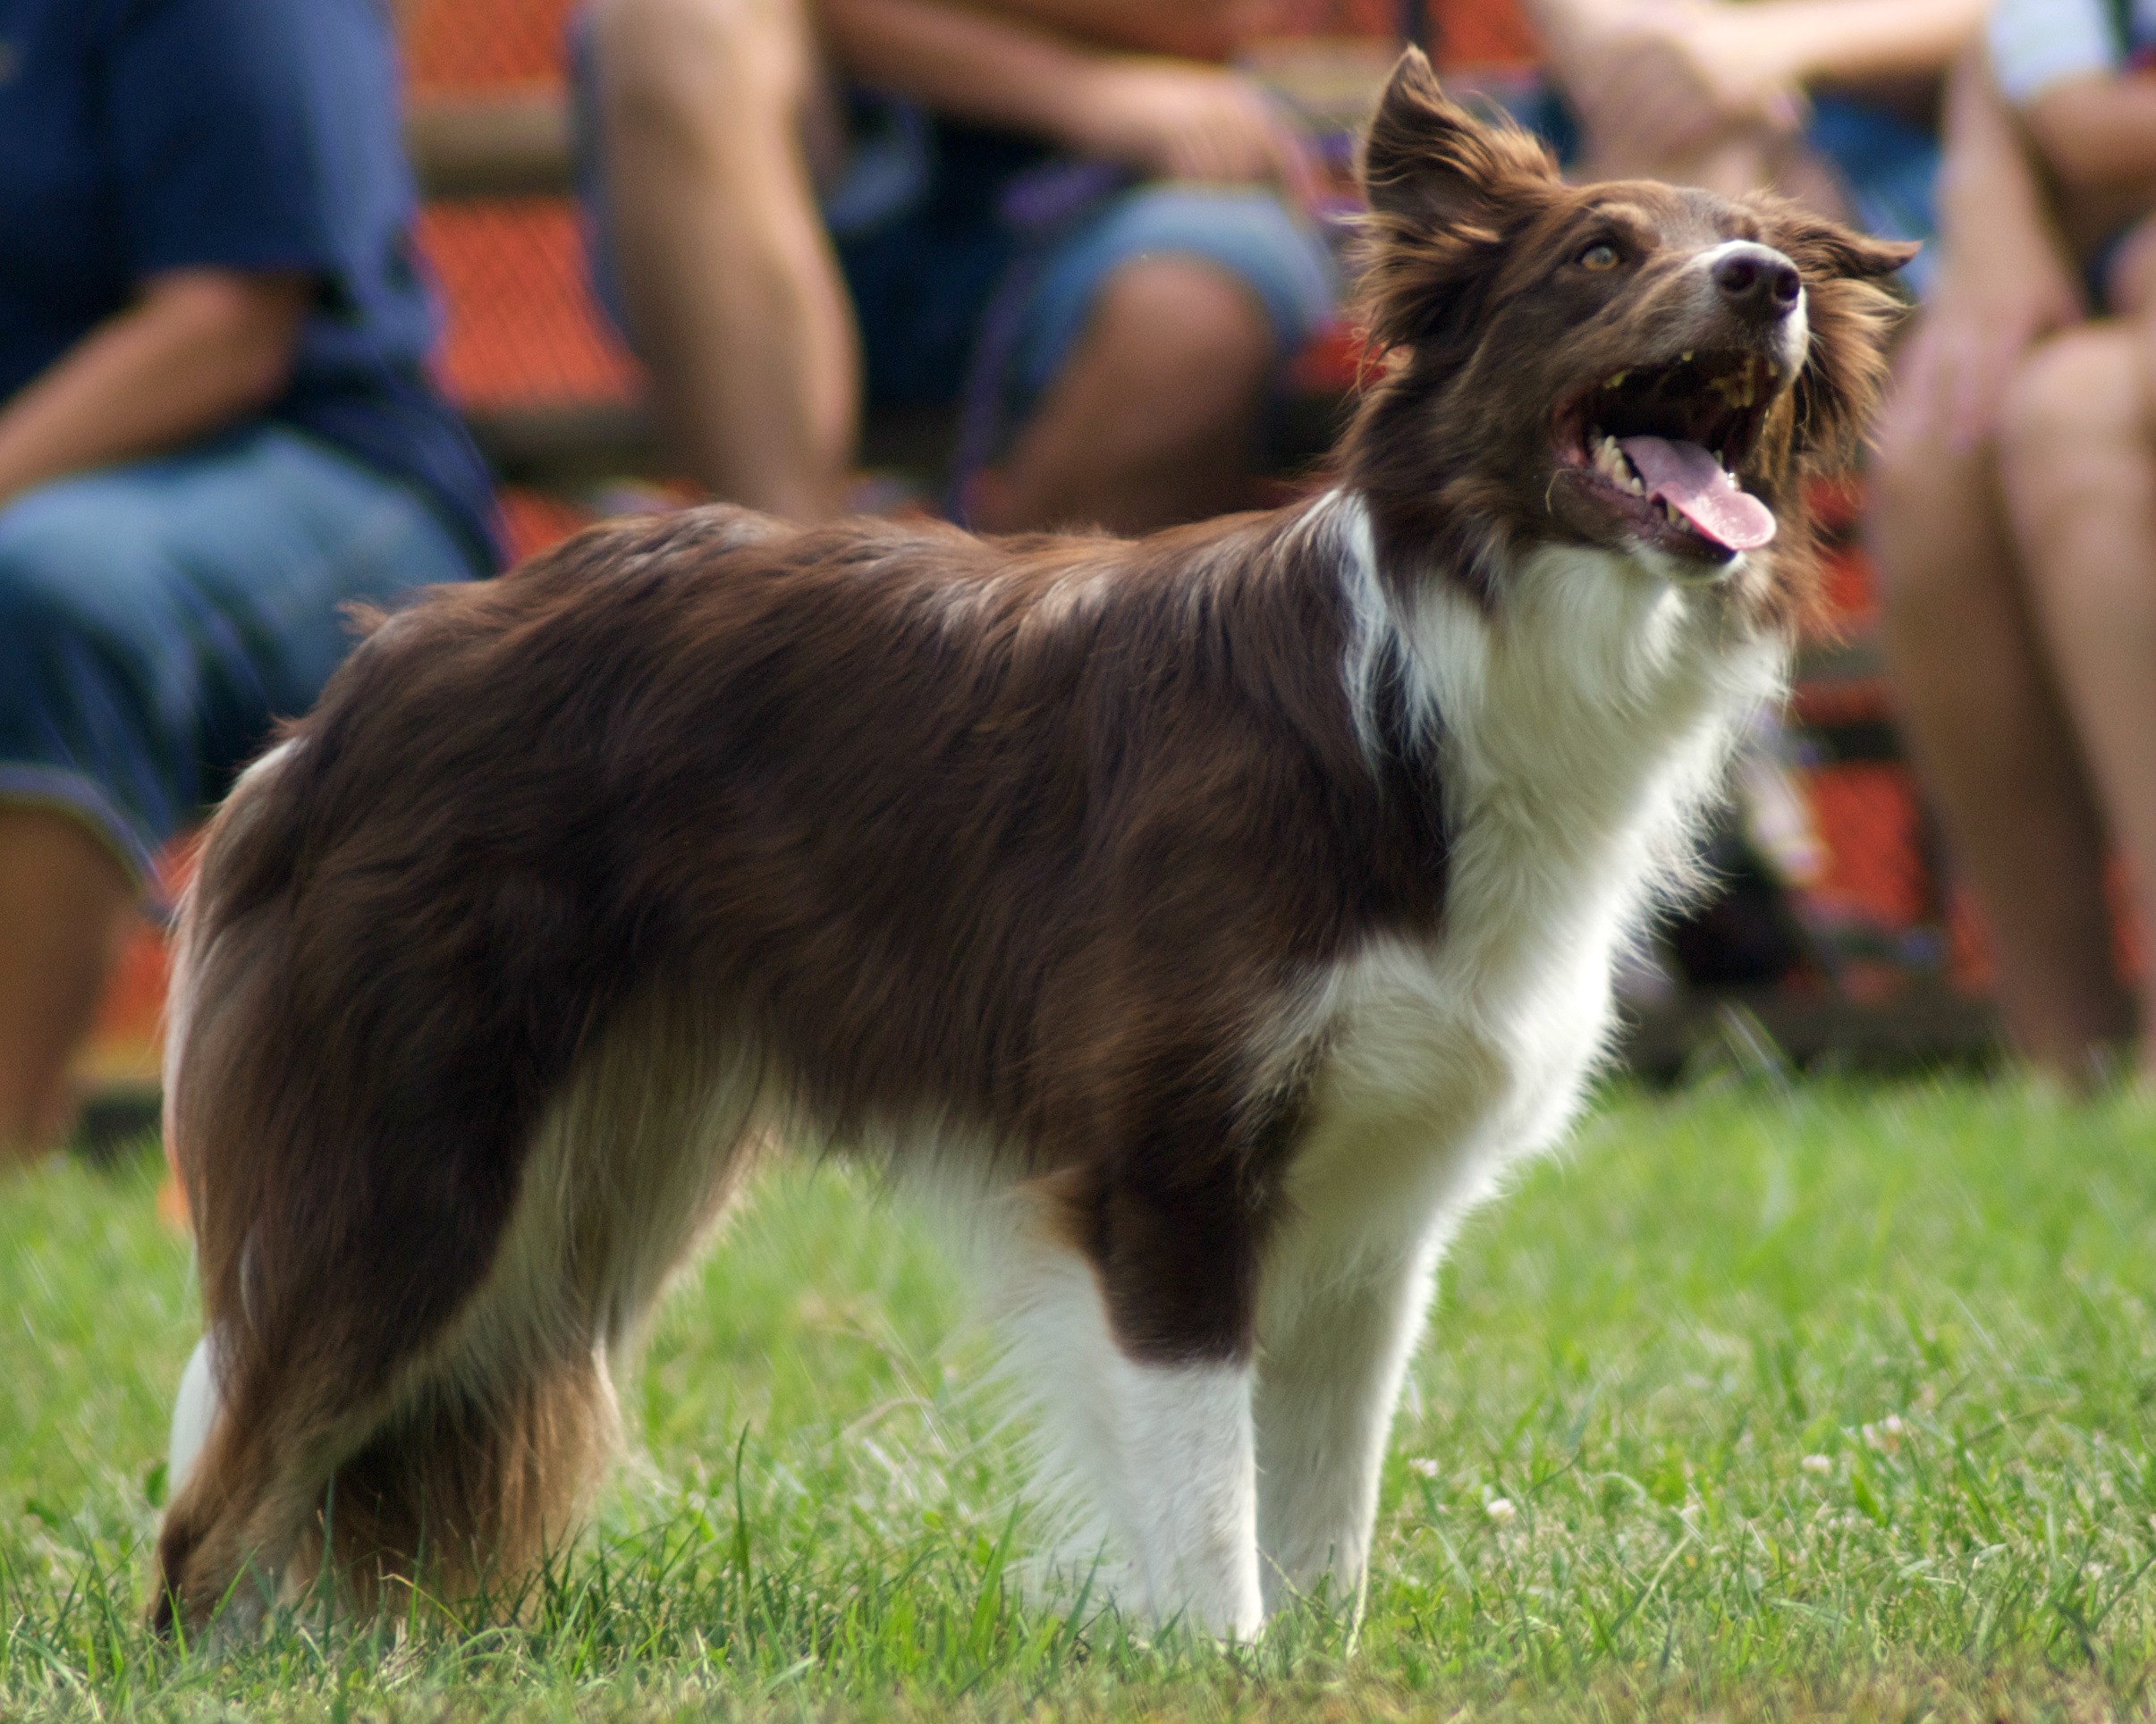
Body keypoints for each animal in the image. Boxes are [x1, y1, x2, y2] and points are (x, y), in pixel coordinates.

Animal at [148, 50, 1906, 1646]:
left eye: (1761, 246)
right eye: (1596, 254)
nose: (1761, 286)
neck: (1439, 666)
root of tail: (358, 682)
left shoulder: (1373, 1220)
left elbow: (1322, 1520)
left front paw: (1316, 1668)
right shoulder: (1164, 1169)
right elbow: (1209, 1506)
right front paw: (1219, 1665)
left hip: (584, 1180)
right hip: (415, 1163)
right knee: (213, 1504)